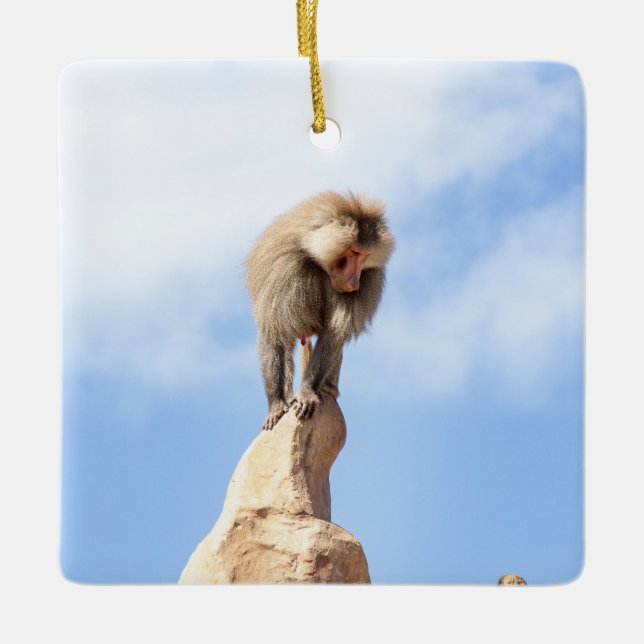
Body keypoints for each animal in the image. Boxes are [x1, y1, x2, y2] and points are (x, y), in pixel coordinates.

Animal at [245, 191, 395, 431]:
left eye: (365, 256)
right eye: (354, 252)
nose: (354, 283)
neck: (316, 257)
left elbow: (334, 334)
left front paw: (308, 392)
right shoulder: (283, 269)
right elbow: (274, 331)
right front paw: (276, 405)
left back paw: (327, 390)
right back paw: (288, 397)